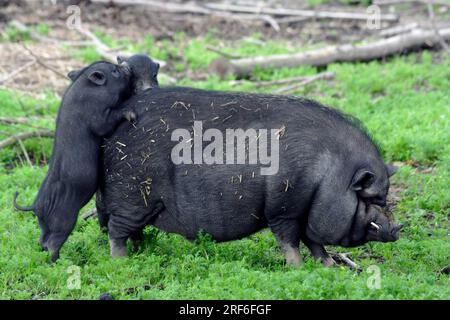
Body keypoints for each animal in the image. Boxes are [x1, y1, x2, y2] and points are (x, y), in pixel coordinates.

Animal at [13, 60, 134, 262]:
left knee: (42, 239)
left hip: (45, 223)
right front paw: (130, 114)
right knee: (53, 242)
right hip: (64, 219)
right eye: (115, 71)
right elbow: (106, 123)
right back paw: (58, 261)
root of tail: (36, 205)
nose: (126, 64)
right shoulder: (97, 117)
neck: (88, 90)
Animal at [97, 86, 398, 264]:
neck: (327, 174)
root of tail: (108, 140)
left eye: (385, 199)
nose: (398, 228)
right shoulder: (283, 208)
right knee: (116, 231)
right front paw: (298, 267)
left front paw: (328, 266)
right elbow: (289, 240)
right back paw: (121, 262)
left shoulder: (305, 211)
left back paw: (143, 253)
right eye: (370, 198)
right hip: (132, 196)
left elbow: (313, 241)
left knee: (131, 231)